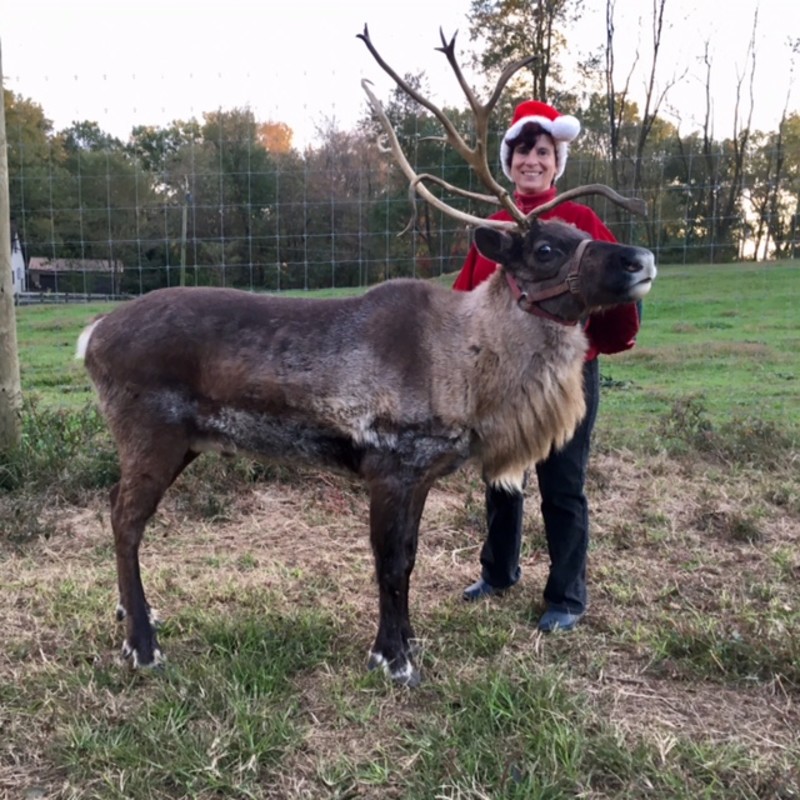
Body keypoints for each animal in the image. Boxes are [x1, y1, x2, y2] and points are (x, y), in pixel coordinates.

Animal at [76, 26, 656, 687]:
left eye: (580, 232)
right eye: (546, 248)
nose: (641, 259)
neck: (465, 365)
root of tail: (92, 335)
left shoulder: (422, 472)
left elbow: (408, 557)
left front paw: (406, 645)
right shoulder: (389, 461)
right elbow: (391, 562)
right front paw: (393, 658)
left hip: (179, 441)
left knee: (119, 511)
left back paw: (134, 618)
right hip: (152, 433)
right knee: (124, 519)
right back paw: (142, 644)